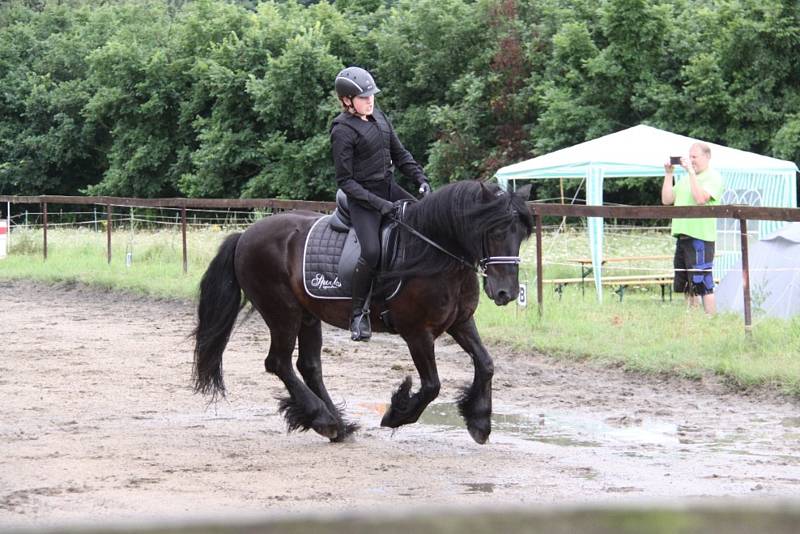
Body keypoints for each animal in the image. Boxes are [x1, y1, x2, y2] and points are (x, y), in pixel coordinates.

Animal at [192, 182, 532, 446]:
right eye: (495, 230)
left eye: (520, 234)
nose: (506, 293)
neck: (434, 252)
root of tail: (245, 235)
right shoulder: (416, 332)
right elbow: (432, 385)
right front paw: (396, 414)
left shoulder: (460, 322)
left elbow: (486, 363)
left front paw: (479, 422)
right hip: (282, 312)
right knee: (278, 363)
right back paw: (324, 420)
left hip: (308, 315)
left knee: (308, 366)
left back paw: (338, 425)